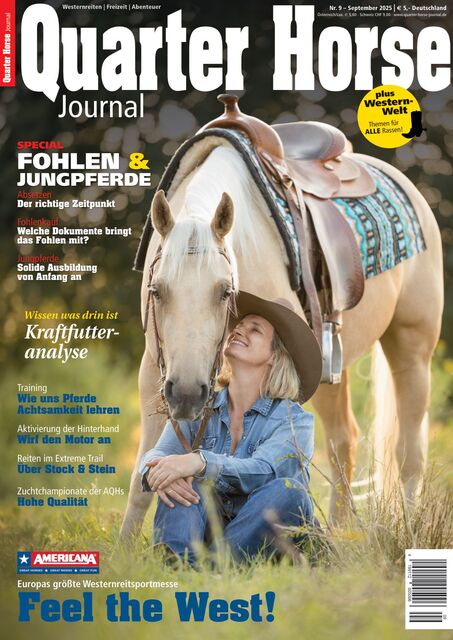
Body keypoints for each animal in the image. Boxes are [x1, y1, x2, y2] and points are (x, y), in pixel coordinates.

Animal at [119, 139, 443, 539]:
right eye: (157, 291)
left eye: (225, 292)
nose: (187, 394)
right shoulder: (155, 372)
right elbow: (143, 479)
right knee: (344, 441)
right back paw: (337, 529)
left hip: (412, 349)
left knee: (408, 453)